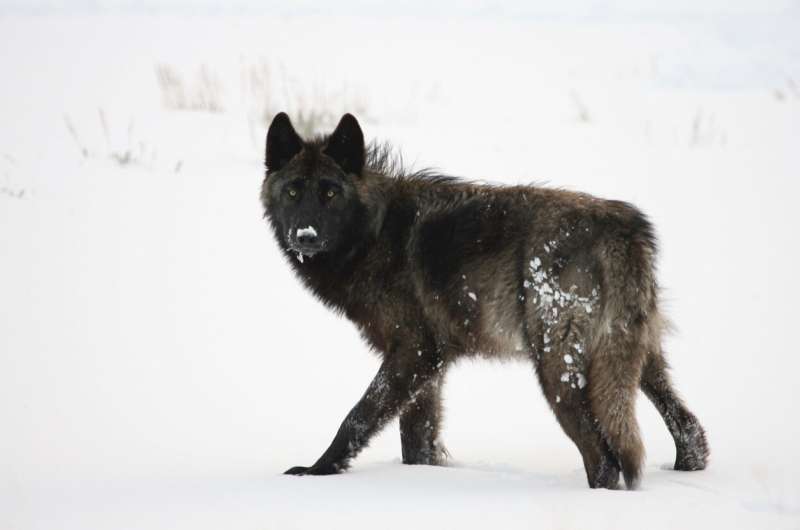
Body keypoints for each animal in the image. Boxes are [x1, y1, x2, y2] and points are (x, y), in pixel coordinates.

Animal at [260, 111, 708, 486]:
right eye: (293, 192)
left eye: (330, 194)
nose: (305, 236)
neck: (374, 233)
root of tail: (622, 228)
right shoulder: (430, 367)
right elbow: (416, 441)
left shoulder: (413, 352)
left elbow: (357, 417)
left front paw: (316, 471)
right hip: (637, 360)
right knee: (689, 428)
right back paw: (687, 467)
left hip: (557, 371)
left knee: (604, 458)